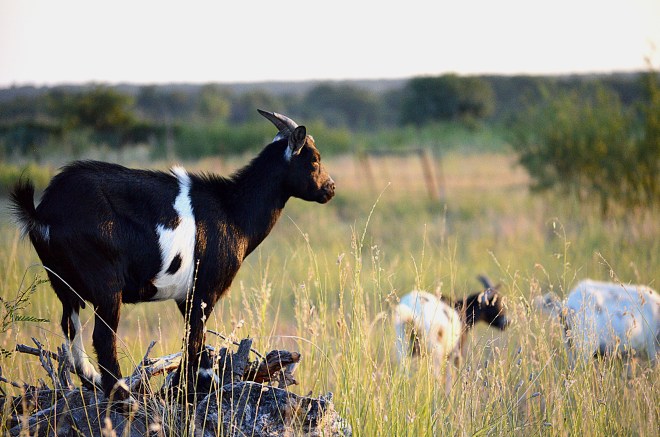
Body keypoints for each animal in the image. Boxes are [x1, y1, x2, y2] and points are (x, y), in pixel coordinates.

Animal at [9, 109, 335, 398]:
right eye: (314, 159)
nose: (330, 189)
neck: (232, 210)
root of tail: (43, 212)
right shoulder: (204, 290)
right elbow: (195, 342)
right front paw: (192, 389)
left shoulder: (186, 297)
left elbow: (195, 342)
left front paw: (191, 385)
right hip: (105, 284)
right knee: (102, 337)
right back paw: (124, 397)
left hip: (62, 283)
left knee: (70, 328)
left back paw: (95, 382)